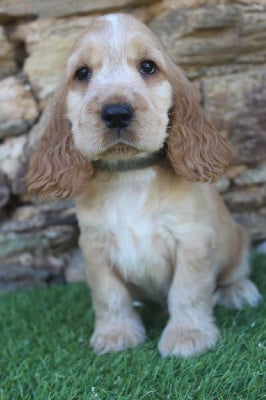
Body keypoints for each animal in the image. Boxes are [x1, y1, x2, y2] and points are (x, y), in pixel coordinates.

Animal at [25, 13, 262, 356]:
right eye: (82, 73)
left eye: (148, 67)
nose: (116, 113)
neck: (130, 175)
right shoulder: (95, 245)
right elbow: (108, 295)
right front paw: (116, 334)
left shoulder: (193, 239)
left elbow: (187, 290)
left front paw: (187, 336)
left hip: (238, 240)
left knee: (235, 273)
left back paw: (239, 291)